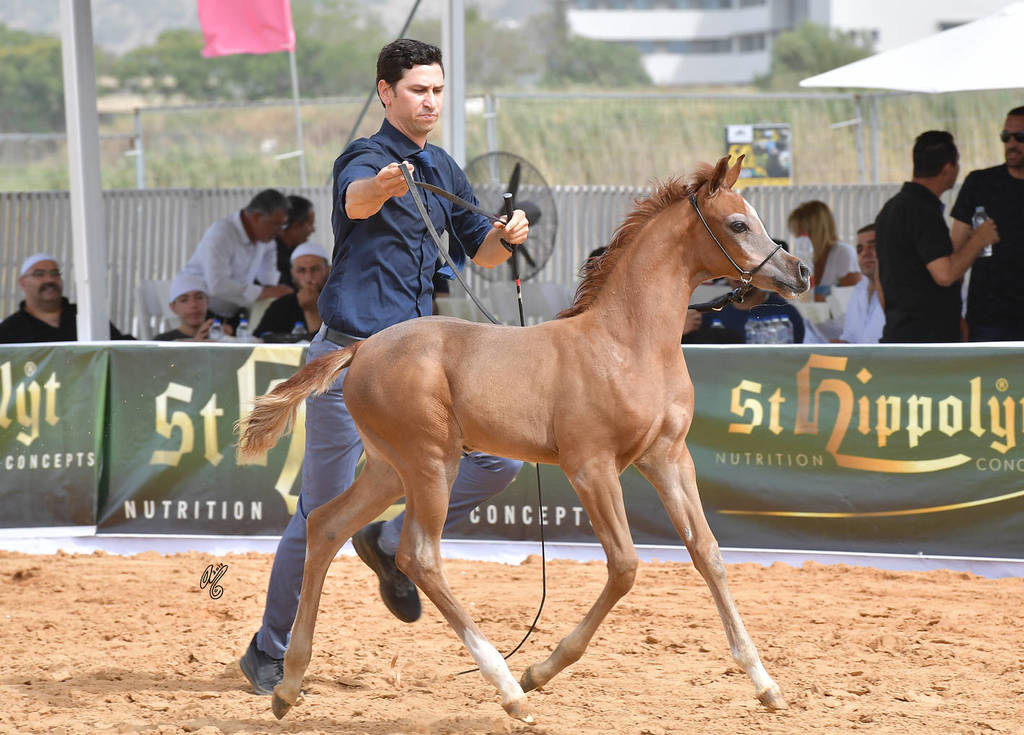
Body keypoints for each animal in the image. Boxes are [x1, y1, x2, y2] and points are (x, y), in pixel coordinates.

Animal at [238, 155, 810, 723]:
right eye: (738, 224)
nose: (799, 272)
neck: (627, 344)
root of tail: (361, 350)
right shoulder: (590, 465)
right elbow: (625, 565)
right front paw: (540, 670)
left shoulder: (668, 457)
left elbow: (708, 553)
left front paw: (766, 683)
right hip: (430, 462)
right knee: (418, 555)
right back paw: (509, 688)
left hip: (388, 468)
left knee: (326, 526)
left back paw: (288, 685)